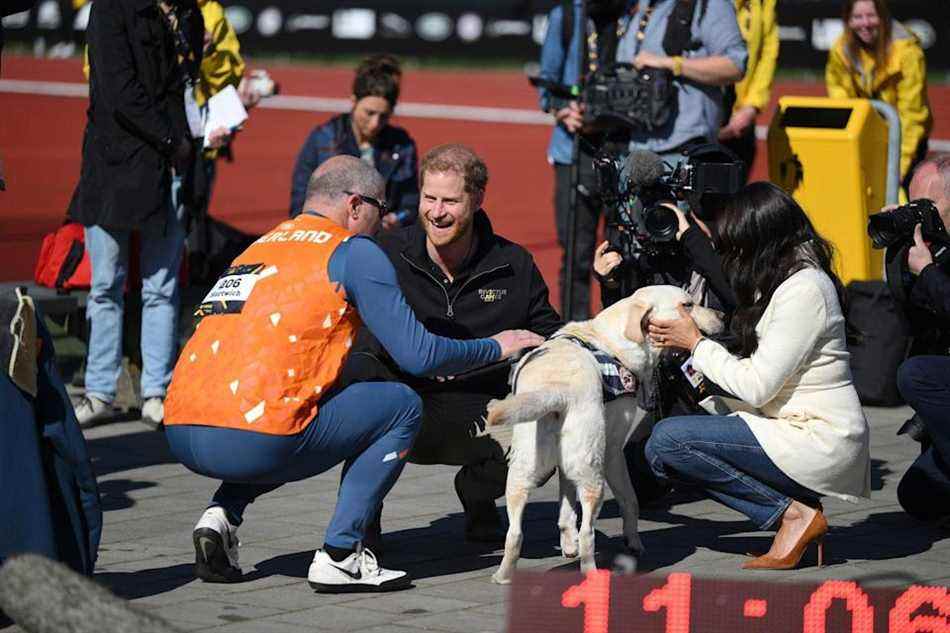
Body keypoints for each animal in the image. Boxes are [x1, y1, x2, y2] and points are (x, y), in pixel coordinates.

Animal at [488, 284, 724, 580]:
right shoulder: (613, 450)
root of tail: (555, 390)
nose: (723, 315)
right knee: (588, 532)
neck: (610, 340)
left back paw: (503, 575)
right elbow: (629, 500)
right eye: (688, 304)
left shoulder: (566, 466)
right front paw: (633, 543)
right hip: (593, 473)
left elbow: (566, 508)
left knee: (515, 533)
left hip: (522, 472)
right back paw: (591, 572)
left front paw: (567, 544)